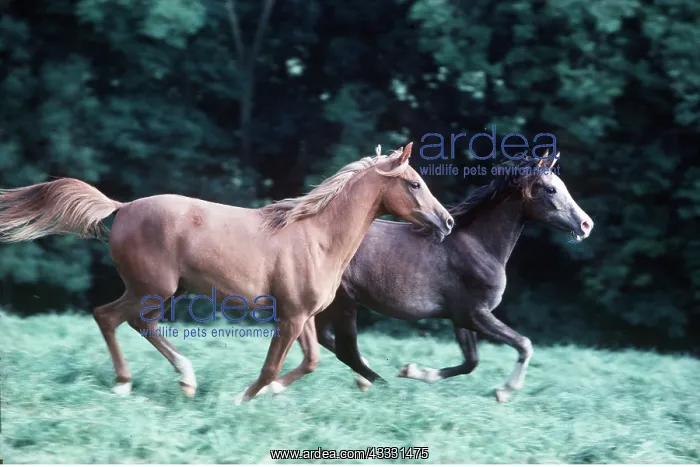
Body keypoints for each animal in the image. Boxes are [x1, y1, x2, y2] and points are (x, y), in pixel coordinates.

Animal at [0, 143, 454, 404]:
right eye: (414, 183)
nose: (447, 222)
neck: (318, 238)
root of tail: (122, 207)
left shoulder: (303, 315)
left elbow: (310, 362)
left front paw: (271, 393)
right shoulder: (289, 316)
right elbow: (271, 367)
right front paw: (239, 401)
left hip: (164, 290)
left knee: (128, 322)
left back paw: (177, 381)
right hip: (153, 287)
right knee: (112, 317)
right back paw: (135, 383)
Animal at [308, 153, 594, 403]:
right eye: (551, 189)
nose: (586, 225)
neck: (479, 245)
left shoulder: (460, 318)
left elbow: (470, 362)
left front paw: (412, 371)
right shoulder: (474, 314)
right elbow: (524, 344)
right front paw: (504, 391)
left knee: (327, 339)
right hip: (343, 302)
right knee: (345, 349)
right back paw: (382, 386)